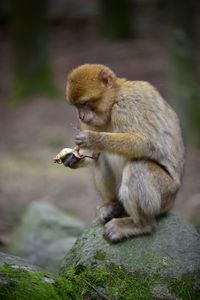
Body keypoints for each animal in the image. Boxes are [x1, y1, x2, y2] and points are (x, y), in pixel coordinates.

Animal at [54, 64, 184, 243]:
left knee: (138, 166)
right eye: (77, 106)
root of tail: (174, 198)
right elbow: (93, 155)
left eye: (84, 103)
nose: (81, 116)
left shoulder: (127, 105)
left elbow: (147, 143)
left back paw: (141, 225)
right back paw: (113, 205)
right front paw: (73, 159)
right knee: (100, 159)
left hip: (166, 195)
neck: (114, 100)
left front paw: (94, 139)